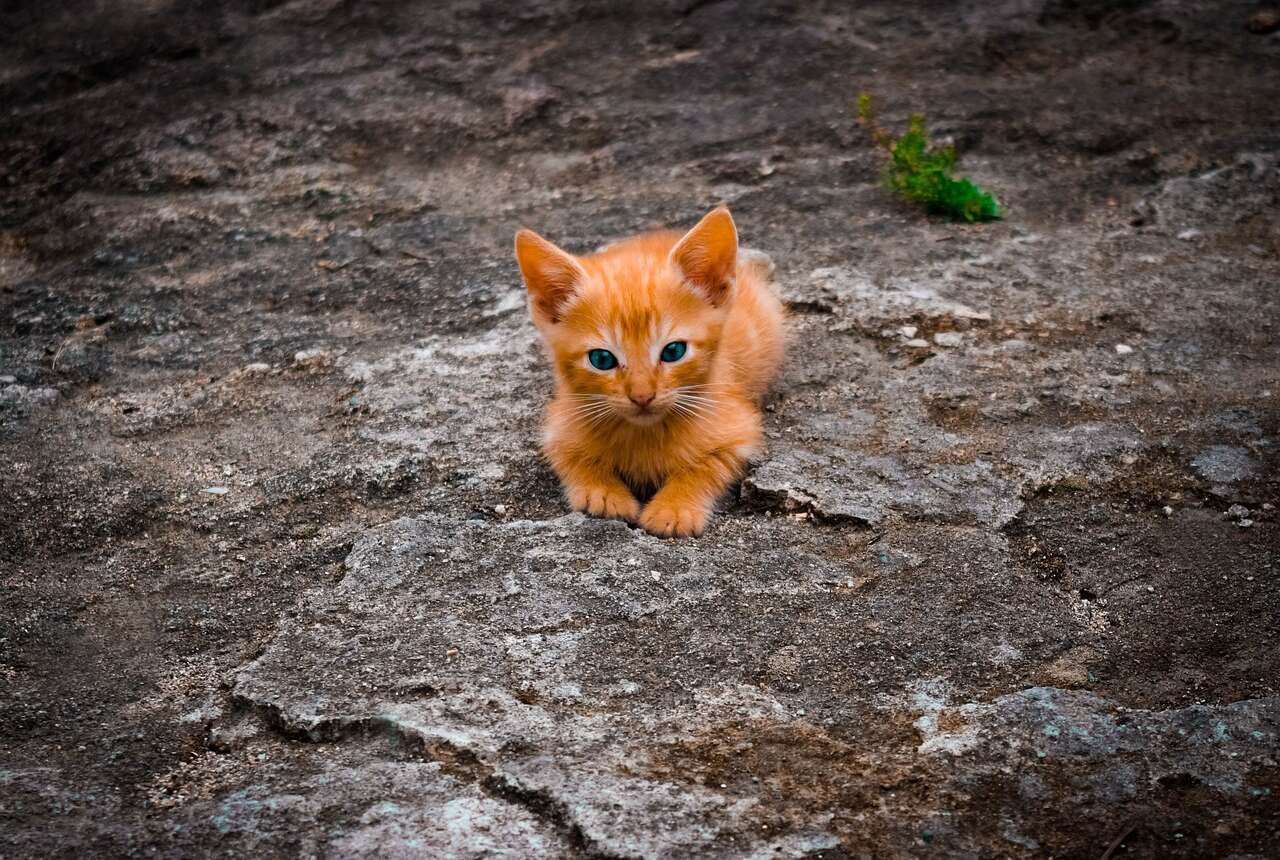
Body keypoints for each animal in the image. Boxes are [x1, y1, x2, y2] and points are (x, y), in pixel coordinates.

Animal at [514, 204, 783, 534]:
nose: (642, 396)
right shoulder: (559, 425)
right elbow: (572, 458)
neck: (644, 434)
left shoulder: (739, 428)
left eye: (673, 351)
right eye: (602, 359)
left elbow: (707, 465)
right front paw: (604, 494)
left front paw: (674, 508)